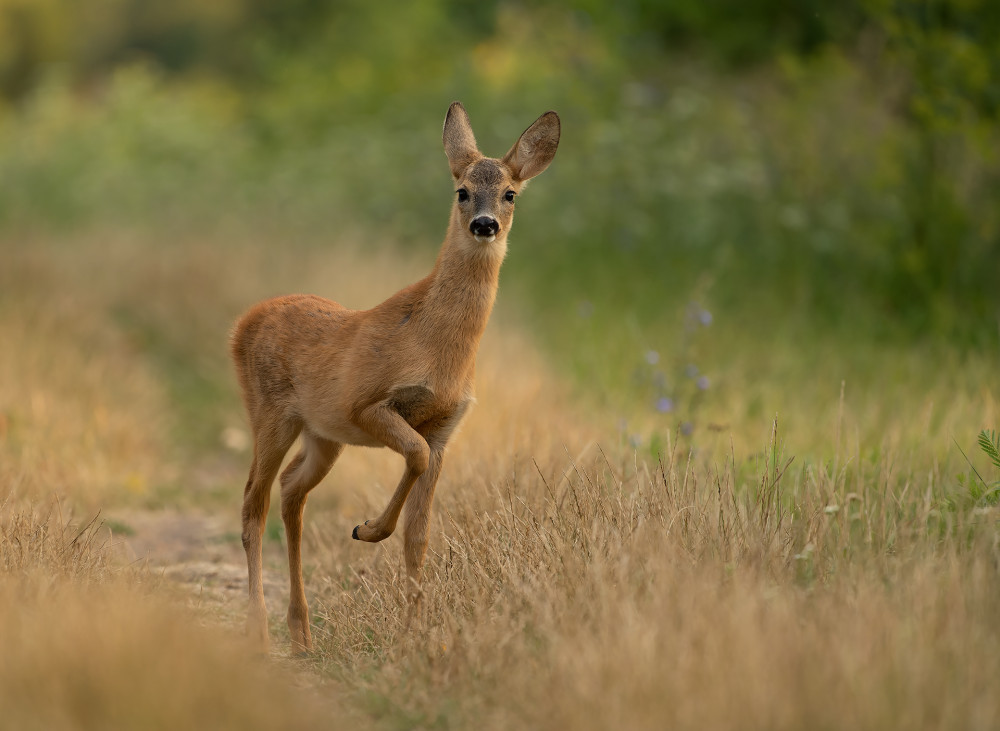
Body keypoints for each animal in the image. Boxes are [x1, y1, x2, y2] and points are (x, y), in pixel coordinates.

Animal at [233, 101, 564, 652]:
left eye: (510, 193)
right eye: (461, 190)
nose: (485, 224)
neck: (439, 349)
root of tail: (243, 322)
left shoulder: (445, 429)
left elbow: (419, 534)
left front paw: (417, 634)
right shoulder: (367, 404)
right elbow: (411, 457)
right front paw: (367, 530)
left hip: (323, 436)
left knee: (291, 490)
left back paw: (301, 631)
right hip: (271, 413)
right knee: (251, 504)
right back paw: (259, 630)